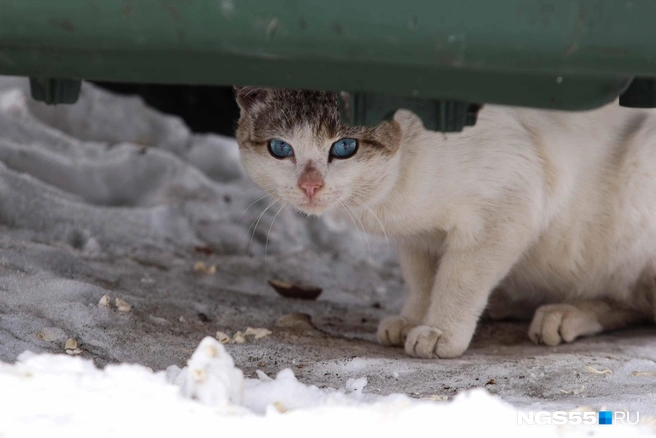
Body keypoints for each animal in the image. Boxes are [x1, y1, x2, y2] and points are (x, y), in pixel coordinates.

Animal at [234, 86, 656, 360]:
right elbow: (423, 280)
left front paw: (441, 331)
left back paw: (564, 314)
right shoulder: (418, 238)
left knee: (636, 301)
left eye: (344, 147)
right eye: (280, 149)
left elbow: (459, 281)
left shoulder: (508, 203)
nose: (310, 186)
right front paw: (413, 319)